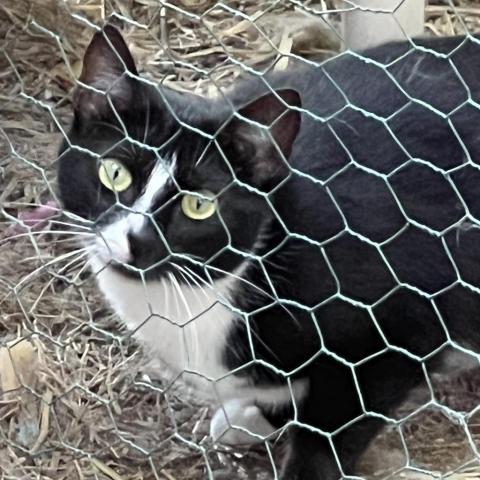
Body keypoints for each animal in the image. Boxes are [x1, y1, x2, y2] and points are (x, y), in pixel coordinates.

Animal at [57, 26, 480, 480]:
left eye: (200, 205)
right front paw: (255, 416)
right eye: (114, 172)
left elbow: (333, 430)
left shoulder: (402, 328)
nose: (135, 238)